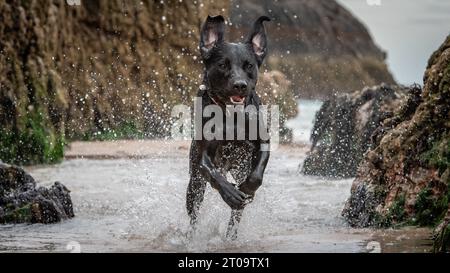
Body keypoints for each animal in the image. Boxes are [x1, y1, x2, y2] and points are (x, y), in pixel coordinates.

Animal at [185, 14, 270, 237]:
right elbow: (212, 172)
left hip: (239, 167)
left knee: (236, 216)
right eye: (223, 65)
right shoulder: (203, 159)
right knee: (194, 212)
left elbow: (256, 176)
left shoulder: (263, 142)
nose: (240, 85)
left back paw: (231, 236)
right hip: (194, 183)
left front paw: (247, 189)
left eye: (249, 65)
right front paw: (230, 194)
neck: (231, 115)